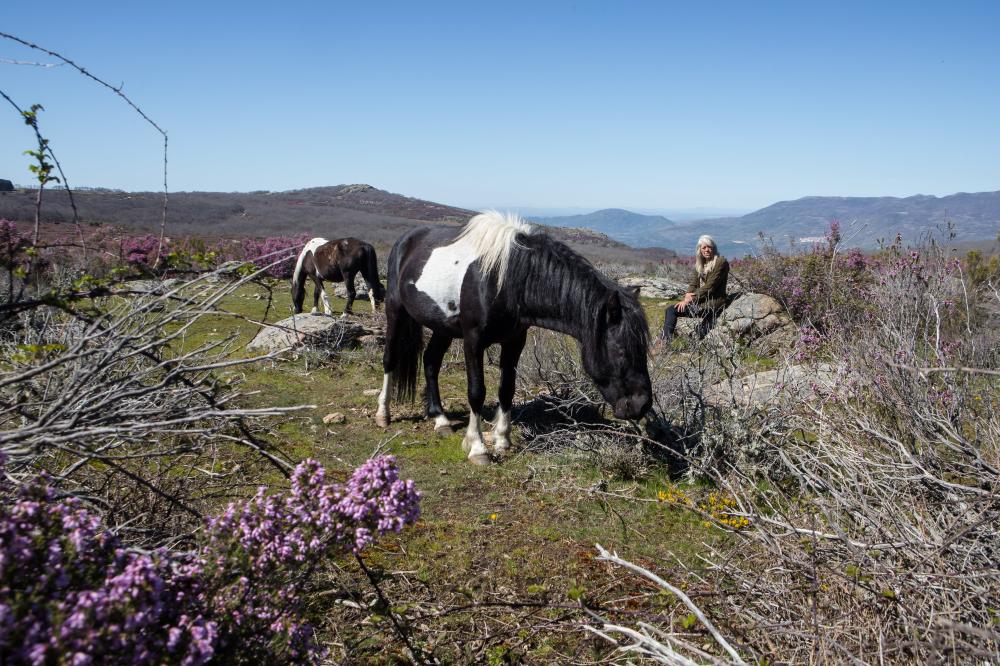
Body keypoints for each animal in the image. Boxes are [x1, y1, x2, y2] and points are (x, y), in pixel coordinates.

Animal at [375, 211, 652, 465]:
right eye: (621, 351)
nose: (642, 405)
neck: (504, 279)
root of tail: (405, 241)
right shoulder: (473, 340)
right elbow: (476, 391)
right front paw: (478, 447)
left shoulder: (515, 341)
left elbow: (506, 388)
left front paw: (502, 440)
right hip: (395, 311)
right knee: (390, 359)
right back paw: (383, 414)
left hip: (442, 327)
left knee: (431, 361)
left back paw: (440, 419)